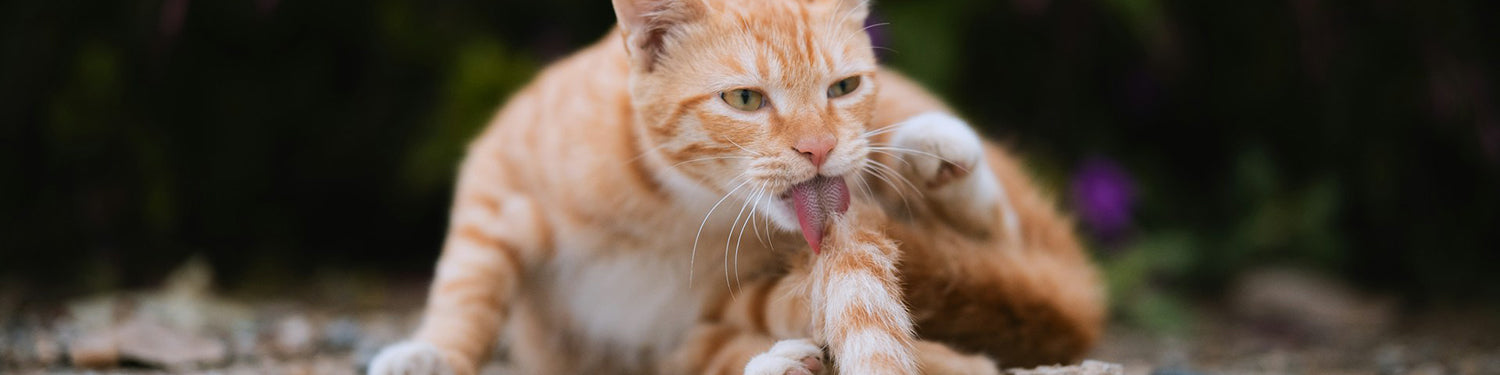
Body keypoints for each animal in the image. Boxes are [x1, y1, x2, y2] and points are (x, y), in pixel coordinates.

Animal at [372, 0, 1104, 375]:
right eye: (746, 99)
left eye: (843, 87)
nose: (819, 147)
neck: (672, 203)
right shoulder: (497, 175)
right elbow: (468, 284)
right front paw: (433, 352)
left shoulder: (719, 305)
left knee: (1007, 250)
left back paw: (940, 154)